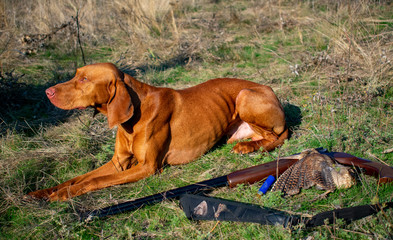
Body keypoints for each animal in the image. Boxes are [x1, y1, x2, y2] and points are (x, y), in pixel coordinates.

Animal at [26, 62, 284, 201]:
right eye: (76, 74)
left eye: (84, 79)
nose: (48, 92)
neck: (133, 118)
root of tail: (270, 89)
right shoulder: (118, 162)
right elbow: (79, 177)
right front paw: (44, 192)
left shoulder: (148, 167)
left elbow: (95, 181)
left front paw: (63, 195)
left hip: (245, 95)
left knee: (278, 137)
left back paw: (248, 147)